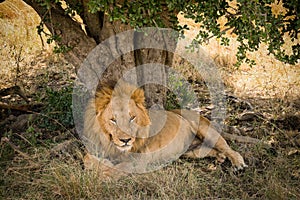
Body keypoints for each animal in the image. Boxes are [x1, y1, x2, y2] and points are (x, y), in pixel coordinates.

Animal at [83, 80, 247, 179]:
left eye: (132, 118)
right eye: (113, 120)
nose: (125, 140)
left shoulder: (139, 161)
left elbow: (114, 170)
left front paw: (104, 172)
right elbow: (87, 159)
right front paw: (101, 164)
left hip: (206, 131)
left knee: (229, 149)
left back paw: (238, 164)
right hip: (193, 152)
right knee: (213, 151)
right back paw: (220, 158)